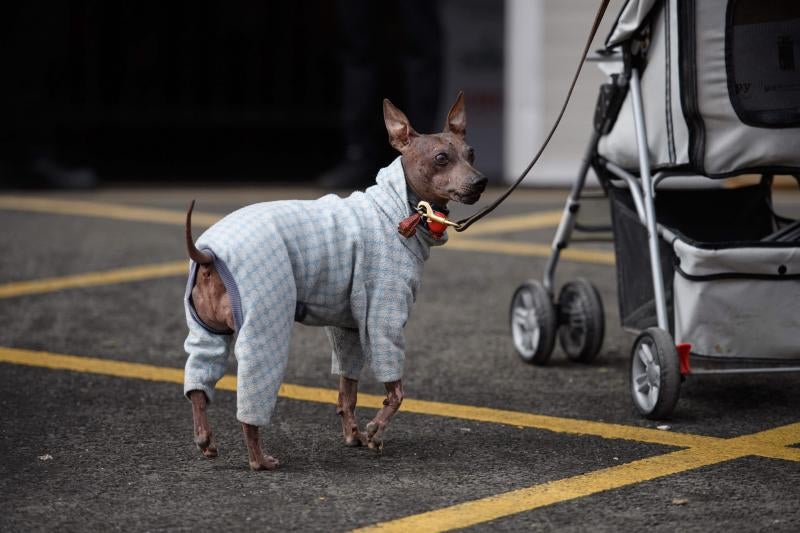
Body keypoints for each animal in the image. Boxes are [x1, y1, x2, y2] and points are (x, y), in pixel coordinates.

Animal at [184, 92, 484, 470]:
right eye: (441, 158)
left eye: (471, 154)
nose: (480, 182)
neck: (403, 210)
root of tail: (208, 253)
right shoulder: (384, 318)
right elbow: (396, 391)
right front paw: (374, 431)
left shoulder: (349, 326)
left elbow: (347, 391)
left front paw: (353, 435)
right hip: (266, 321)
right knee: (250, 403)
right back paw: (260, 459)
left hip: (207, 331)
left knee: (197, 385)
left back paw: (205, 440)